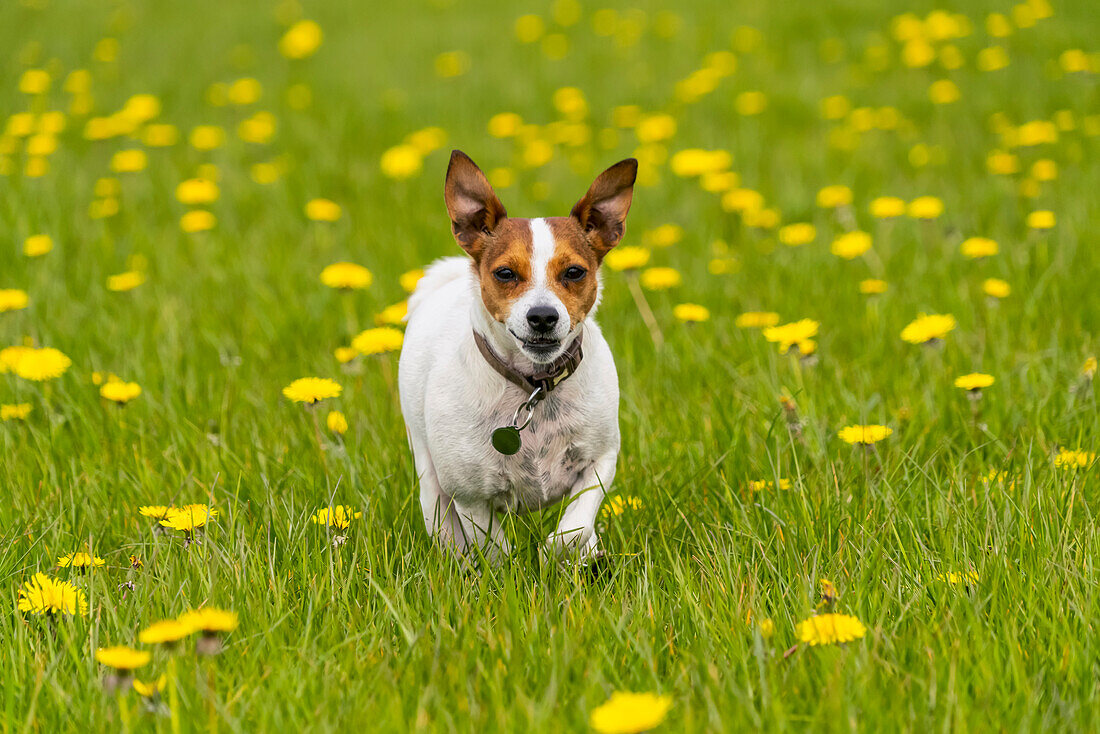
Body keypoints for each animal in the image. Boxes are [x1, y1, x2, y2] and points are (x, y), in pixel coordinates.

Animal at [398, 150, 638, 563]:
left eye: (575, 272)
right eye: (506, 273)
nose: (542, 316)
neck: (534, 385)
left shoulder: (600, 463)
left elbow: (574, 528)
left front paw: (557, 552)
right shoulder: (471, 498)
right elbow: (494, 549)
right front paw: (510, 568)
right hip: (432, 488)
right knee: (450, 537)